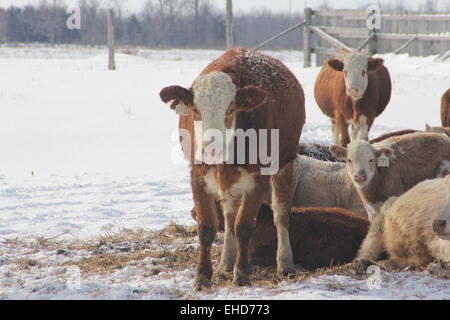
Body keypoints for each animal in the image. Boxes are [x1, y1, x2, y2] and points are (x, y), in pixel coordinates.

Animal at [158, 47, 306, 290]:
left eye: (230, 109)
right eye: (195, 110)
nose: (211, 150)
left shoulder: (258, 178)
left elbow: (244, 226)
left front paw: (242, 273)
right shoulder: (197, 177)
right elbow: (207, 227)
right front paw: (202, 276)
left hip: (285, 162)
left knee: (281, 212)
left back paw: (285, 262)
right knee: (228, 215)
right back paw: (226, 261)